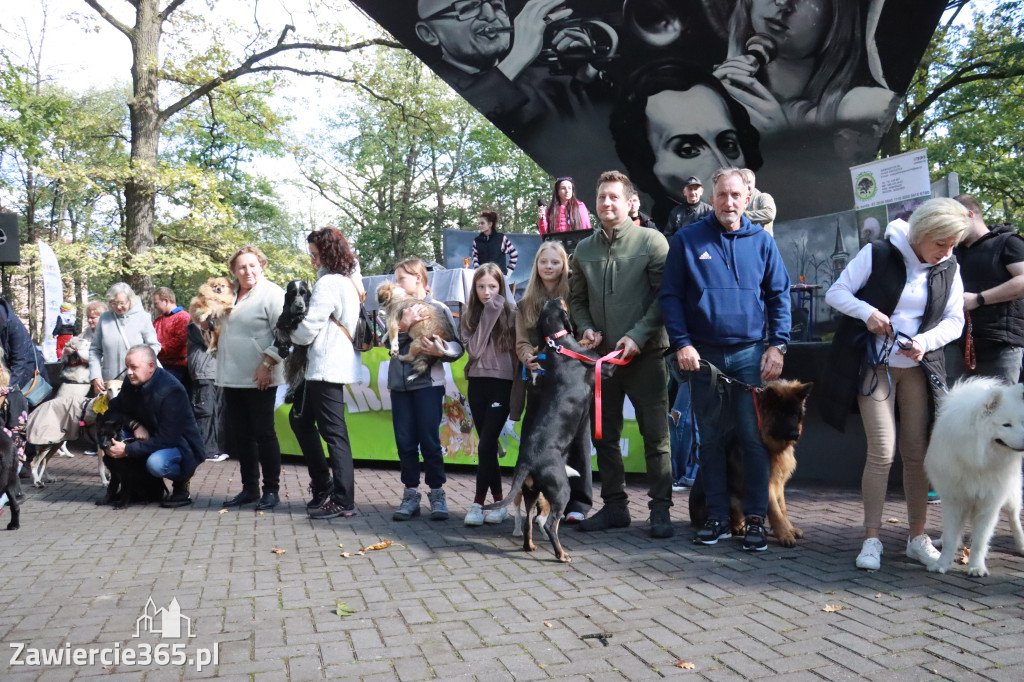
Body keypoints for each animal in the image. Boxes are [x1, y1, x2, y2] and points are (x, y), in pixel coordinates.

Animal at [692, 376, 811, 548]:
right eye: (781, 414)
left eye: (795, 414)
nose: (795, 434)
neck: (767, 443)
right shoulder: (766, 484)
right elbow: (775, 511)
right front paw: (784, 534)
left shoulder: (779, 483)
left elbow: (782, 508)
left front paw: (789, 528)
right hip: (733, 498)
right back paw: (737, 527)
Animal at [925, 374, 1024, 577]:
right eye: (1006, 424)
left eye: (1022, 423)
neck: (978, 458)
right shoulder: (953, 500)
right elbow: (951, 537)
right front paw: (942, 564)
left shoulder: (990, 503)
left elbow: (980, 541)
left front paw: (977, 567)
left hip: (1011, 495)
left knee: (1014, 517)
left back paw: (1021, 545)